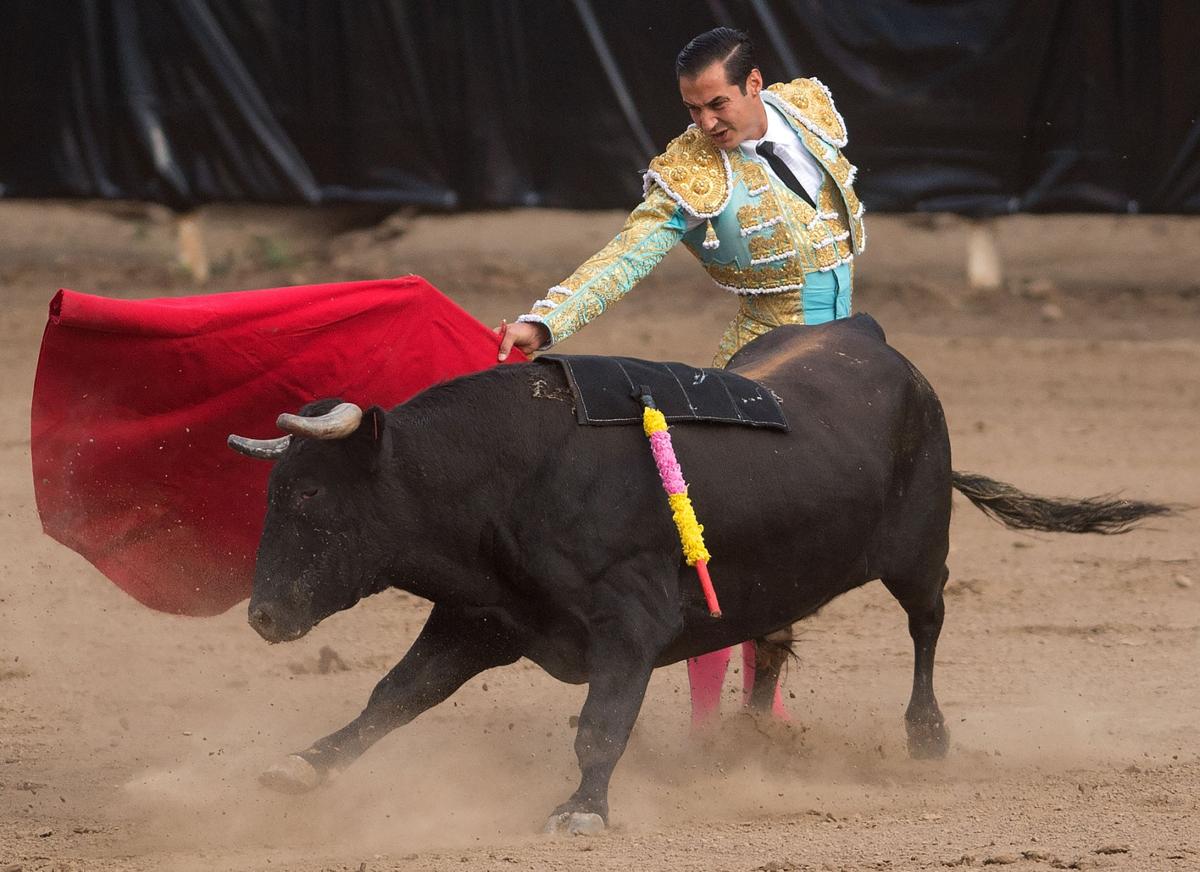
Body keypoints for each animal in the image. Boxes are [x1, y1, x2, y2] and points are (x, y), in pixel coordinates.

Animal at [226, 316, 1171, 834]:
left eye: (310, 495)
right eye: (272, 493)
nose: (263, 616)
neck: (511, 472)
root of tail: (877, 343)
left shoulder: (628, 625)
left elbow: (600, 726)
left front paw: (582, 810)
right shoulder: (479, 618)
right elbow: (394, 695)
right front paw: (302, 768)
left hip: (918, 552)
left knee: (927, 627)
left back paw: (926, 737)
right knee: (775, 639)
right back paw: (747, 740)